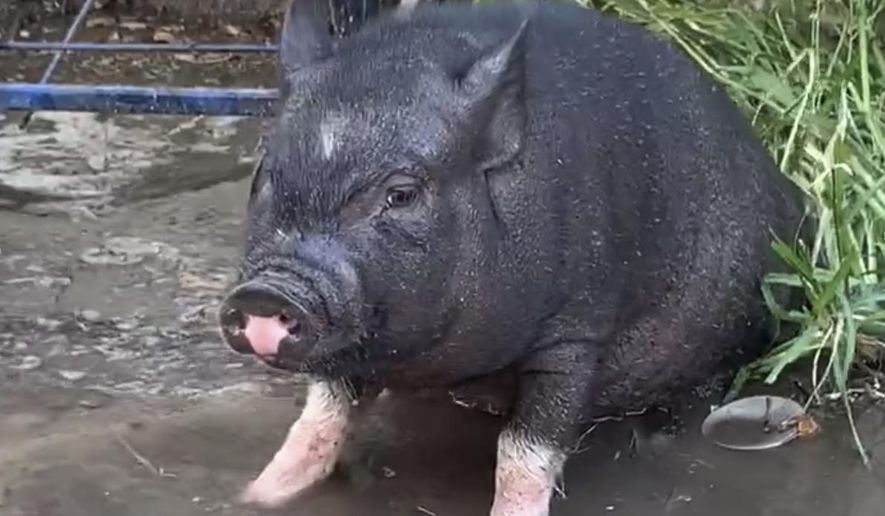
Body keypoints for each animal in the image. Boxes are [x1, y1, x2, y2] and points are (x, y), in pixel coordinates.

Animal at [217, 0, 809, 514]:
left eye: (402, 194)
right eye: (266, 174)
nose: (266, 291)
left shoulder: (574, 331)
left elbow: (524, 451)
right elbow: (319, 419)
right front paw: (249, 498)